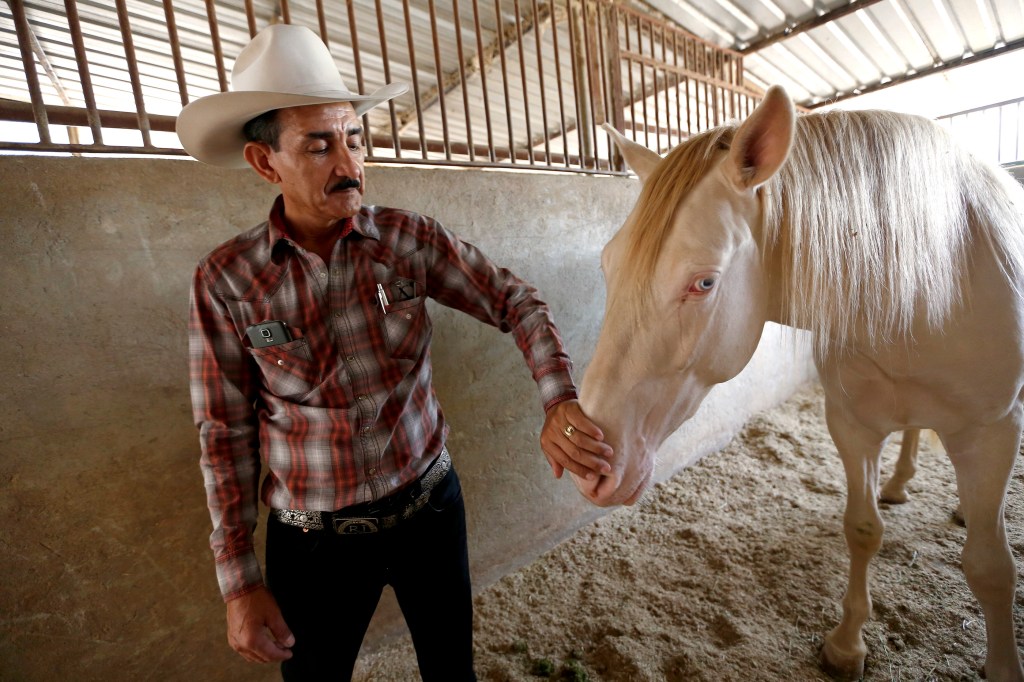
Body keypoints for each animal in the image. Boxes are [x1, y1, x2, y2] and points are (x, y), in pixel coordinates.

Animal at [577, 87, 1024, 675]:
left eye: (704, 283)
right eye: (607, 265)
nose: (589, 459)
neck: (934, 284)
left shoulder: (992, 432)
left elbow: (990, 567)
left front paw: (1003, 666)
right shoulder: (852, 423)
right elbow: (863, 529)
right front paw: (847, 644)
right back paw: (901, 483)